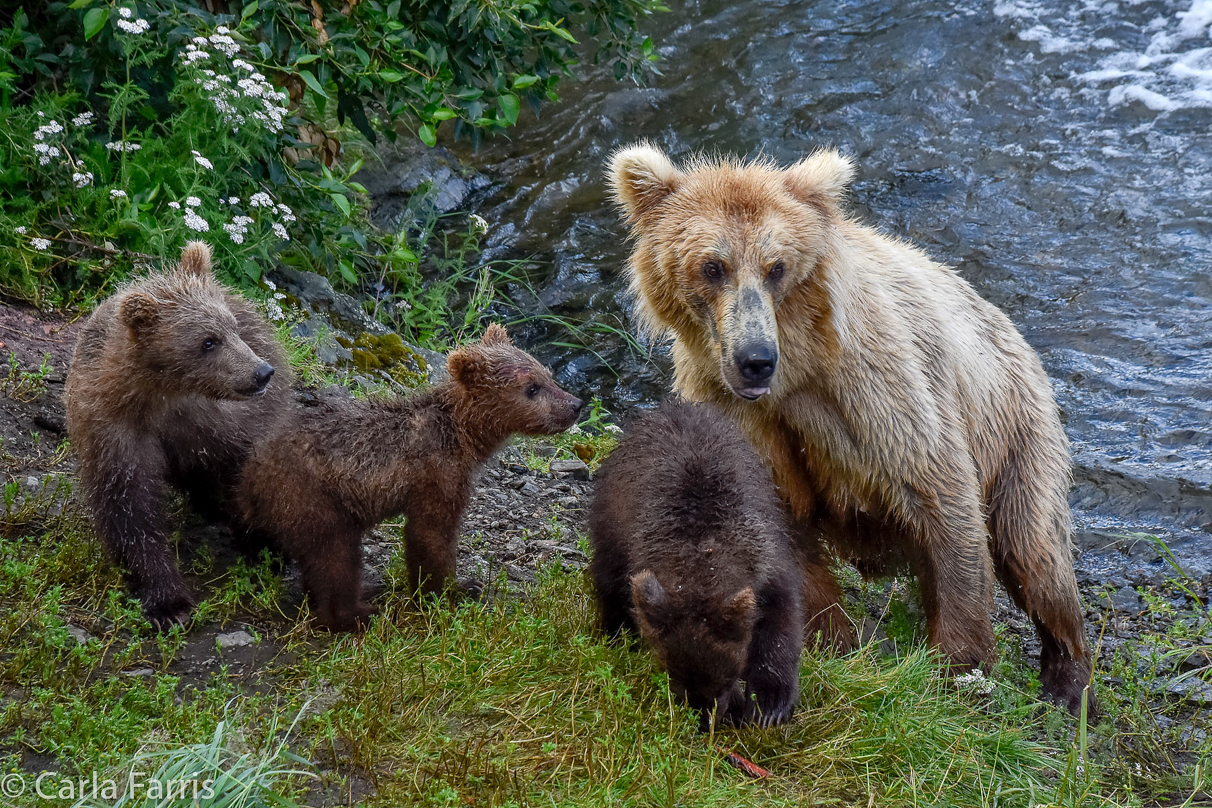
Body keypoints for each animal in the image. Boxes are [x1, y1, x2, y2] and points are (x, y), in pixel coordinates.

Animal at [610, 143, 1095, 712]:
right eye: (713, 266)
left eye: (776, 267)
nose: (756, 360)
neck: (796, 375)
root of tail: (1011, 329)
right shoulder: (740, 419)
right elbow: (780, 528)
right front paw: (834, 641)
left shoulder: (875, 392)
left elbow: (941, 495)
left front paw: (959, 666)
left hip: (1015, 427)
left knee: (1033, 551)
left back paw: (1067, 678)